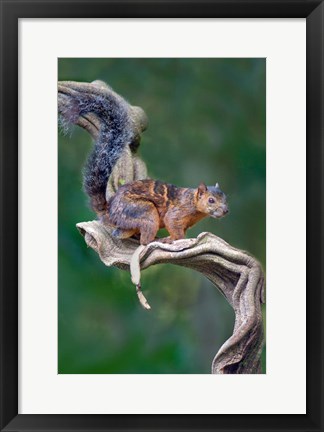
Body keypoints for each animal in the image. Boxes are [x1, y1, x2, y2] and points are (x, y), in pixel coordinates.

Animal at [57, 79, 228, 245]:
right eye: (211, 200)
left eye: (225, 198)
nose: (226, 210)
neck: (193, 202)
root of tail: (110, 213)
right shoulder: (178, 213)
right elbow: (174, 226)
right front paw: (177, 239)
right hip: (145, 212)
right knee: (144, 241)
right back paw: (155, 240)